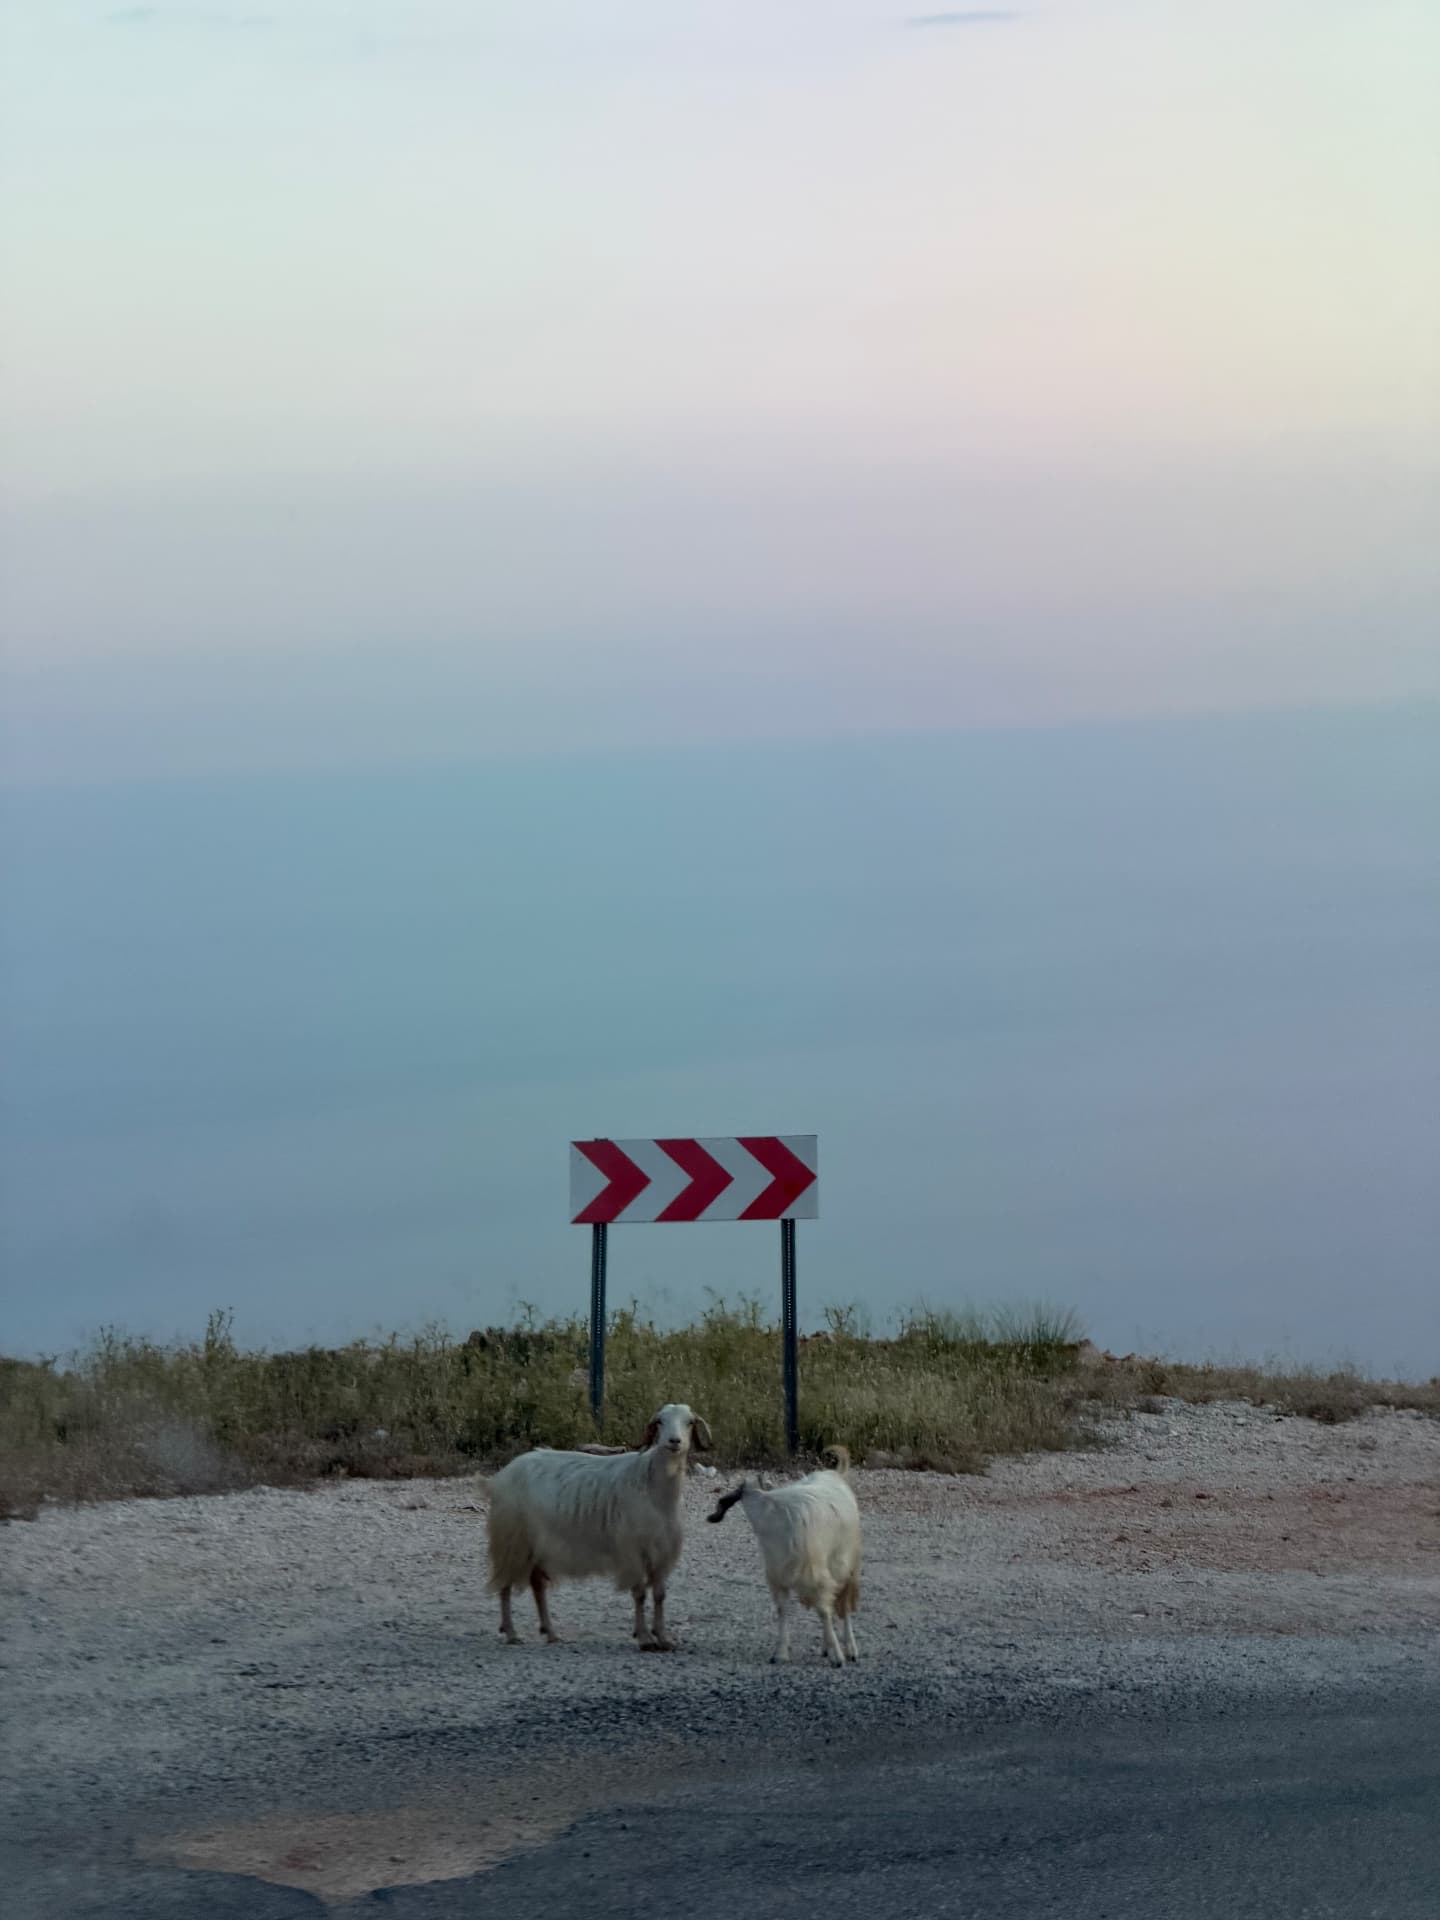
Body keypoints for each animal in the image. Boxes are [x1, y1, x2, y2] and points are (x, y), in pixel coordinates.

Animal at [485, 1403, 712, 1651]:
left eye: (689, 1422)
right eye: (660, 1421)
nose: (674, 1441)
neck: (652, 1485)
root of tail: (503, 1474)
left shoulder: (661, 1552)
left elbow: (660, 1595)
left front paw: (663, 1637)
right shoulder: (633, 1551)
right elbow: (640, 1594)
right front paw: (644, 1638)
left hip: (536, 1545)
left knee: (537, 1584)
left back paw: (551, 1633)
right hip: (512, 1538)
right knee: (505, 1584)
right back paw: (511, 1633)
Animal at [707, 1445, 861, 1668]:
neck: (770, 1514)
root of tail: (834, 1474)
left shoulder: (816, 1577)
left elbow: (824, 1612)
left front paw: (838, 1657)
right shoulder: (777, 1576)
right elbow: (783, 1610)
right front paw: (780, 1653)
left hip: (845, 1566)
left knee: (843, 1605)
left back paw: (850, 1649)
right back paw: (827, 1648)